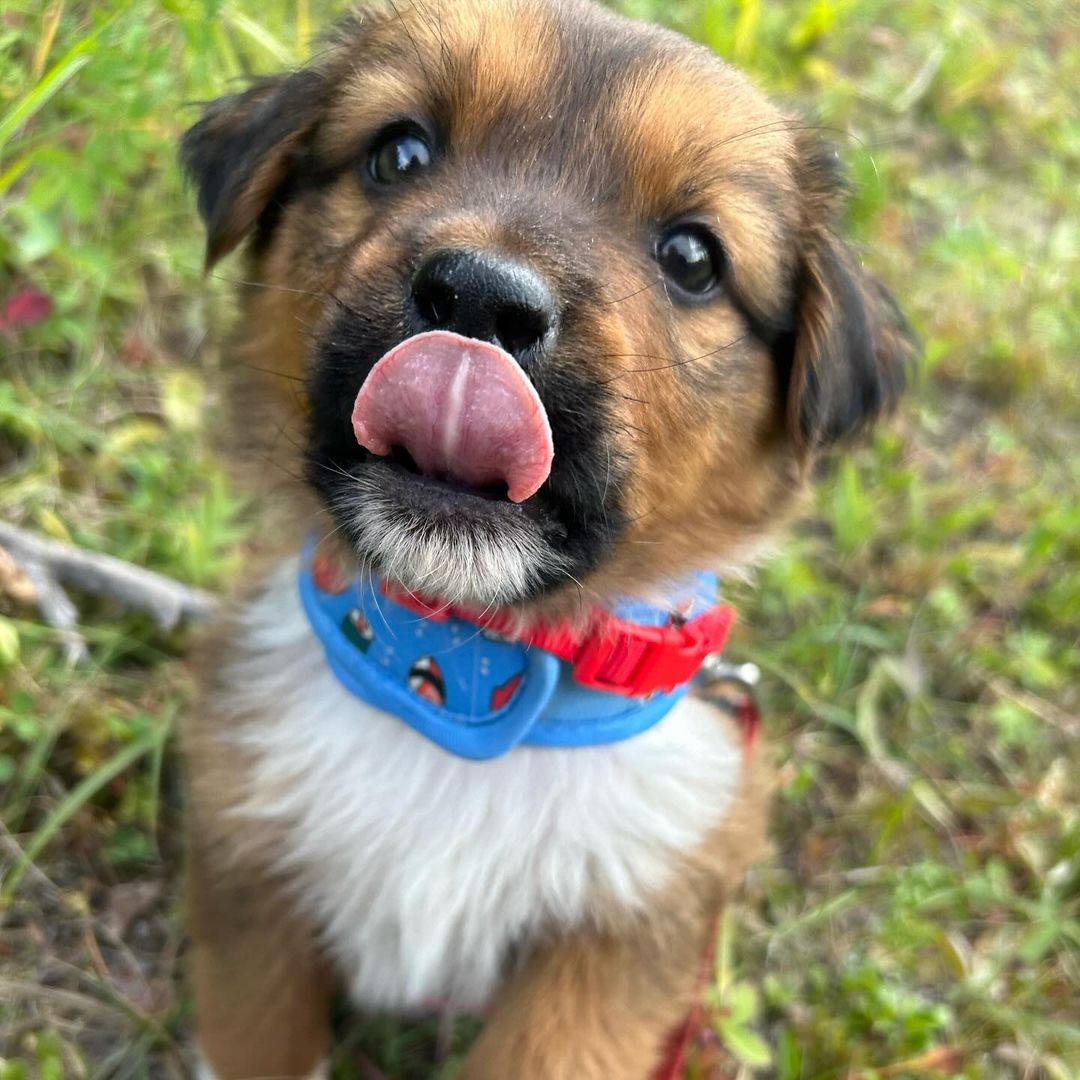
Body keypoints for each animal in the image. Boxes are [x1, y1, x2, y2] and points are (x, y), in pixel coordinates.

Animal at [179, 2, 911, 1080]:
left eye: (693, 259)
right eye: (399, 152)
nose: (482, 297)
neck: (457, 662)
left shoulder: (607, 961)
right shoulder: (250, 874)